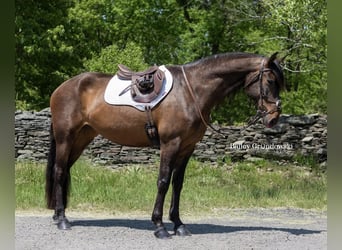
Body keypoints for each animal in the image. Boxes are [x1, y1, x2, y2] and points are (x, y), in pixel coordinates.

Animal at [46, 52, 286, 238]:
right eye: (270, 81)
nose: (273, 118)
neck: (191, 91)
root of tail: (61, 88)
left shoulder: (188, 147)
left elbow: (177, 184)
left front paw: (179, 225)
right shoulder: (170, 144)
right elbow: (163, 181)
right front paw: (160, 226)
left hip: (82, 138)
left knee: (65, 170)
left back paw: (58, 215)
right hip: (65, 137)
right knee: (59, 171)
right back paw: (63, 219)